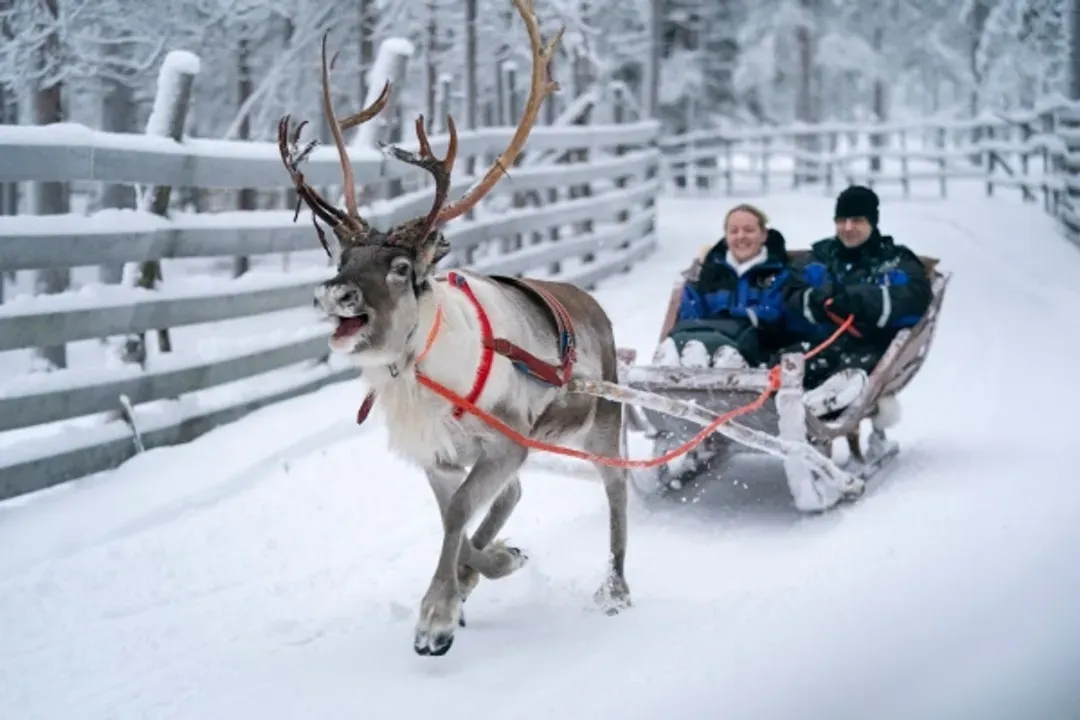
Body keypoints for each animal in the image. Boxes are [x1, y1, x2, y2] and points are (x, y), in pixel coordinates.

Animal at [276, 0, 631, 658]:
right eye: (343, 259)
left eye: (399, 269)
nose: (333, 293)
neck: (421, 372)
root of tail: (592, 302)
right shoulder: (438, 456)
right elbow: (455, 517)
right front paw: (483, 571)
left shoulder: (510, 438)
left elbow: (463, 510)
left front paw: (437, 615)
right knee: (511, 495)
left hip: (603, 422)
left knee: (617, 490)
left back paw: (616, 587)